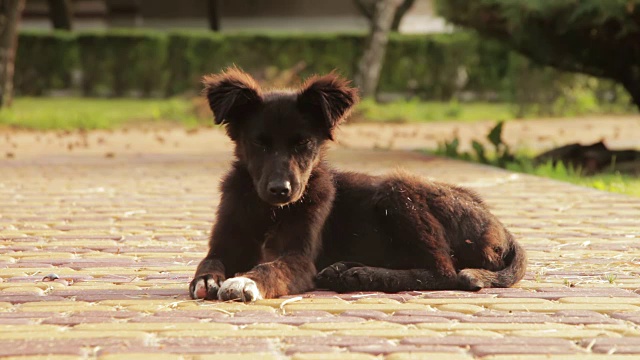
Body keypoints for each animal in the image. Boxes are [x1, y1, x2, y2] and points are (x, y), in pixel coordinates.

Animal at [186, 67, 524, 300]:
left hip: (396, 189)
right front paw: (207, 279)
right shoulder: (225, 244)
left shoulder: (299, 258)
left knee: (445, 272)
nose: (281, 190)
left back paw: (363, 276)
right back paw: (344, 271)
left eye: (304, 143)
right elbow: (209, 261)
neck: (267, 210)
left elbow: (271, 268)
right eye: (259, 143)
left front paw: (247, 281)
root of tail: (504, 231)